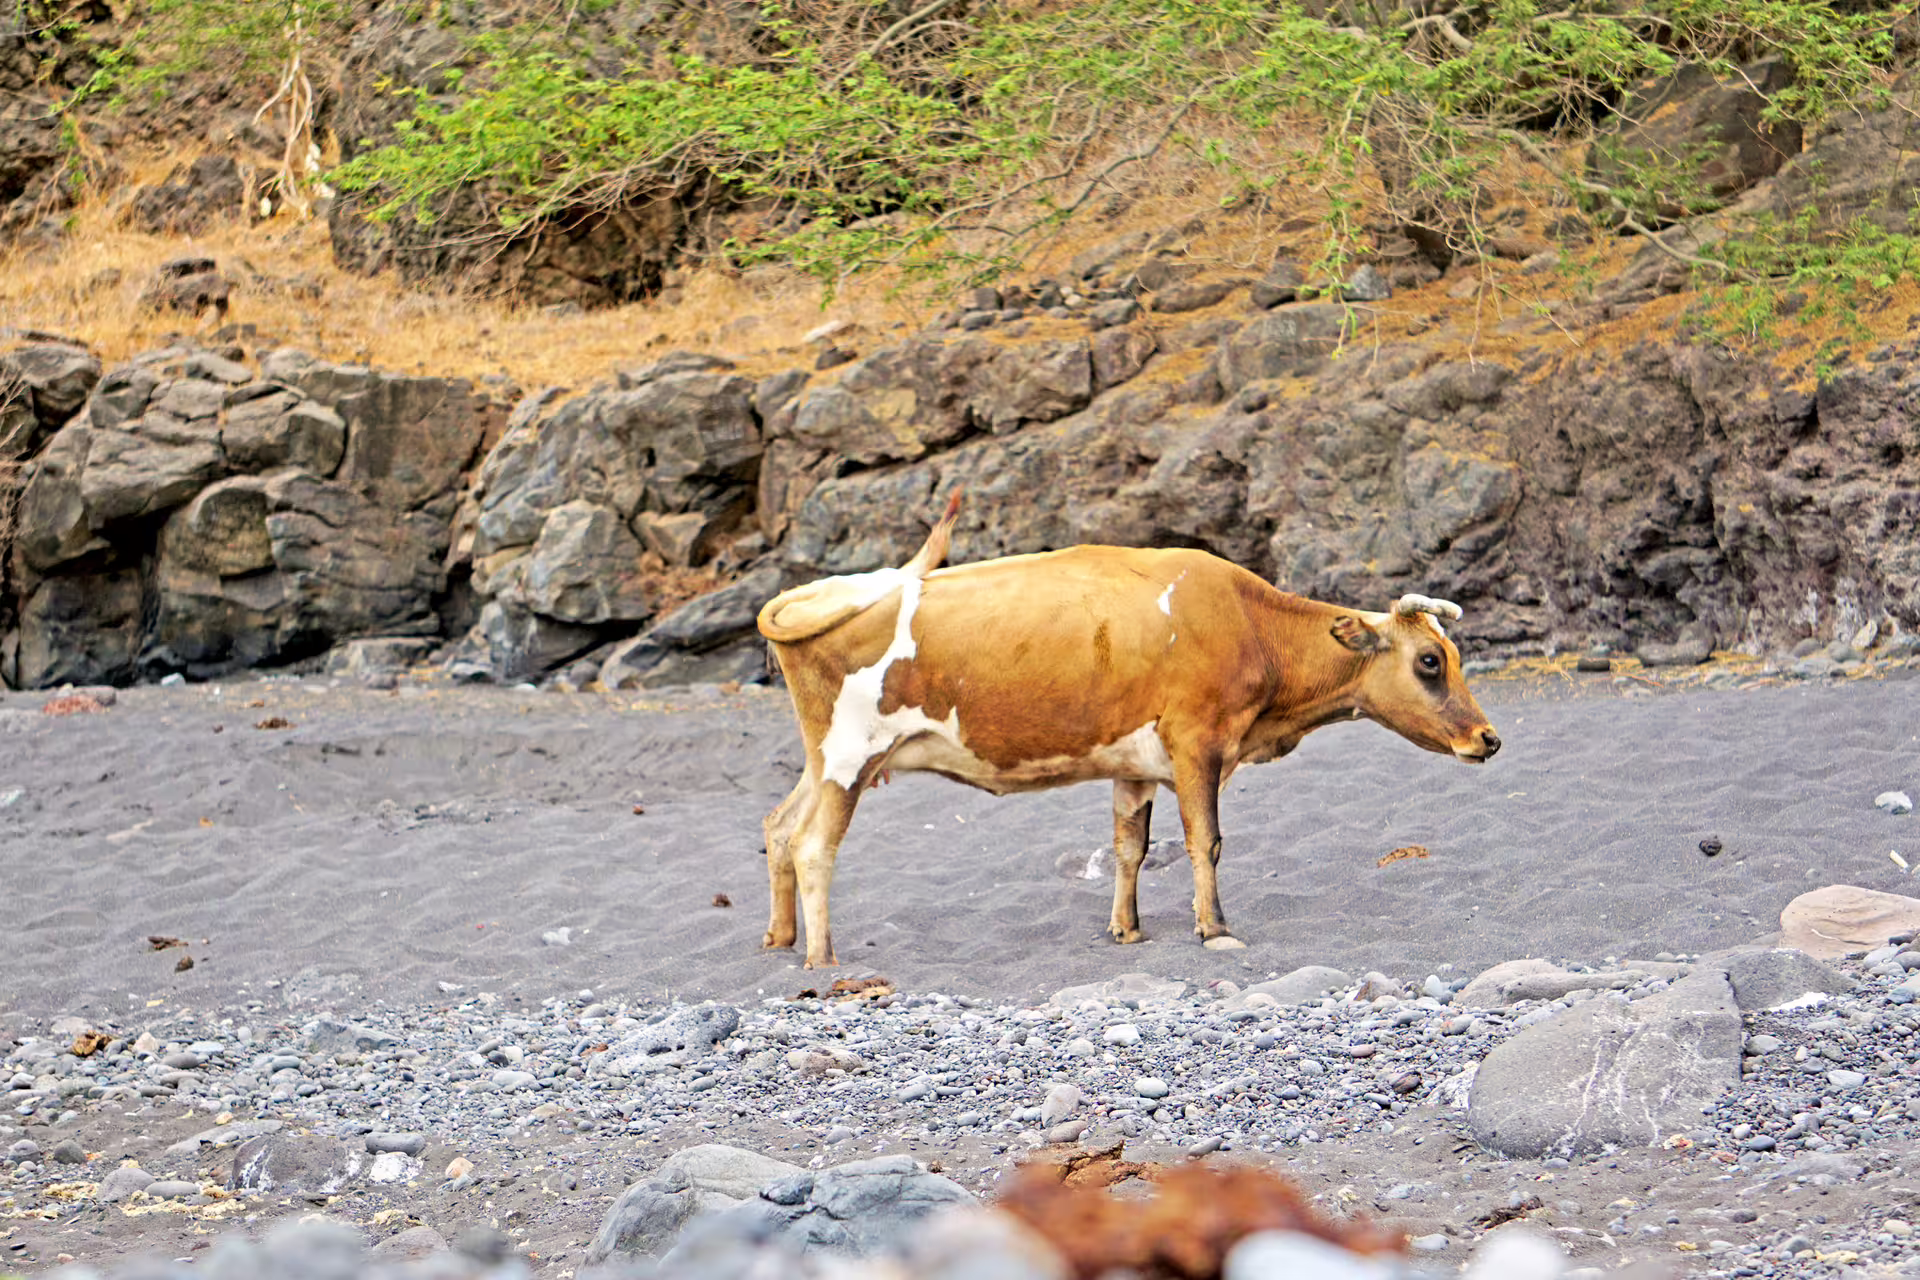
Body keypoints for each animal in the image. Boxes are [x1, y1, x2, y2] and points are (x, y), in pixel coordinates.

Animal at [756, 493, 1500, 968]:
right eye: (1429, 661)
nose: (1488, 738)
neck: (1249, 624)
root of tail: (822, 590)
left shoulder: (1135, 764)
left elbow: (1128, 849)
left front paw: (1127, 930)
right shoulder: (1198, 745)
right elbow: (1206, 841)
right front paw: (1213, 928)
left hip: (823, 761)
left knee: (779, 828)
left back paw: (780, 938)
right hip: (849, 757)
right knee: (814, 845)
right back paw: (822, 959)